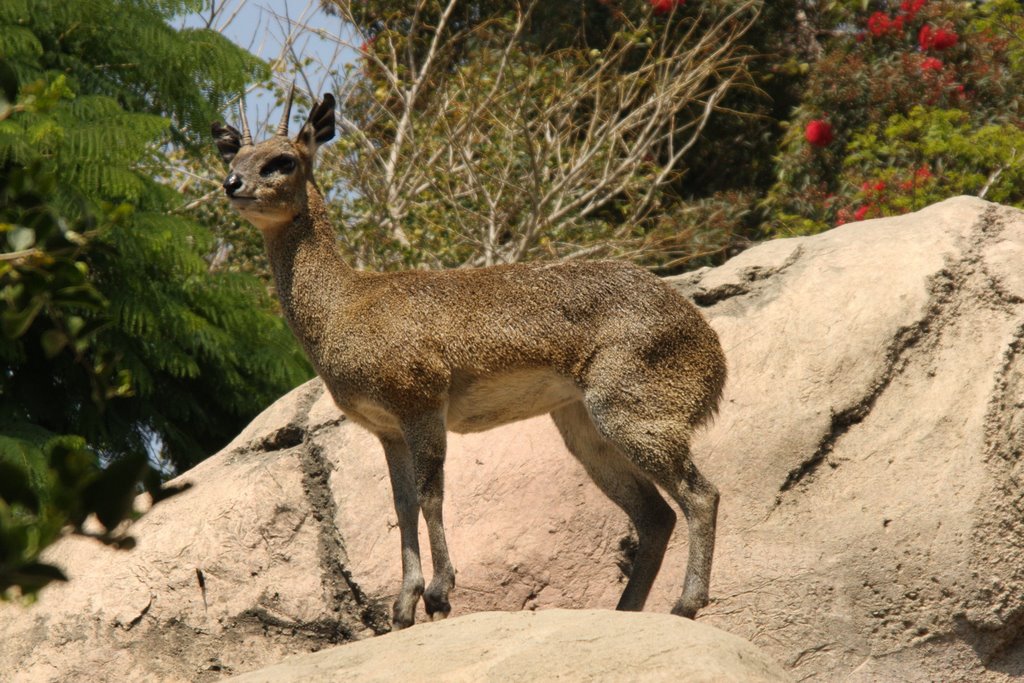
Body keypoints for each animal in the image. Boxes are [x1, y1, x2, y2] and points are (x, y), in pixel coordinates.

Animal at [211, 90, 724, 630]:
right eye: (233, 157)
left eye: (282, 160)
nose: (232, 185)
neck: (345, 305)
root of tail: (711, 351)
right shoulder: (386, 428)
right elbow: (402, 504)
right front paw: (403, 606)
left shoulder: (421, 404)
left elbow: (431, 494)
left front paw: (439, 593)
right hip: (583, 427)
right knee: (656, 515)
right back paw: (627, 610)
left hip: (632, 413)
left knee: (700, 495)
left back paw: (686, 604)